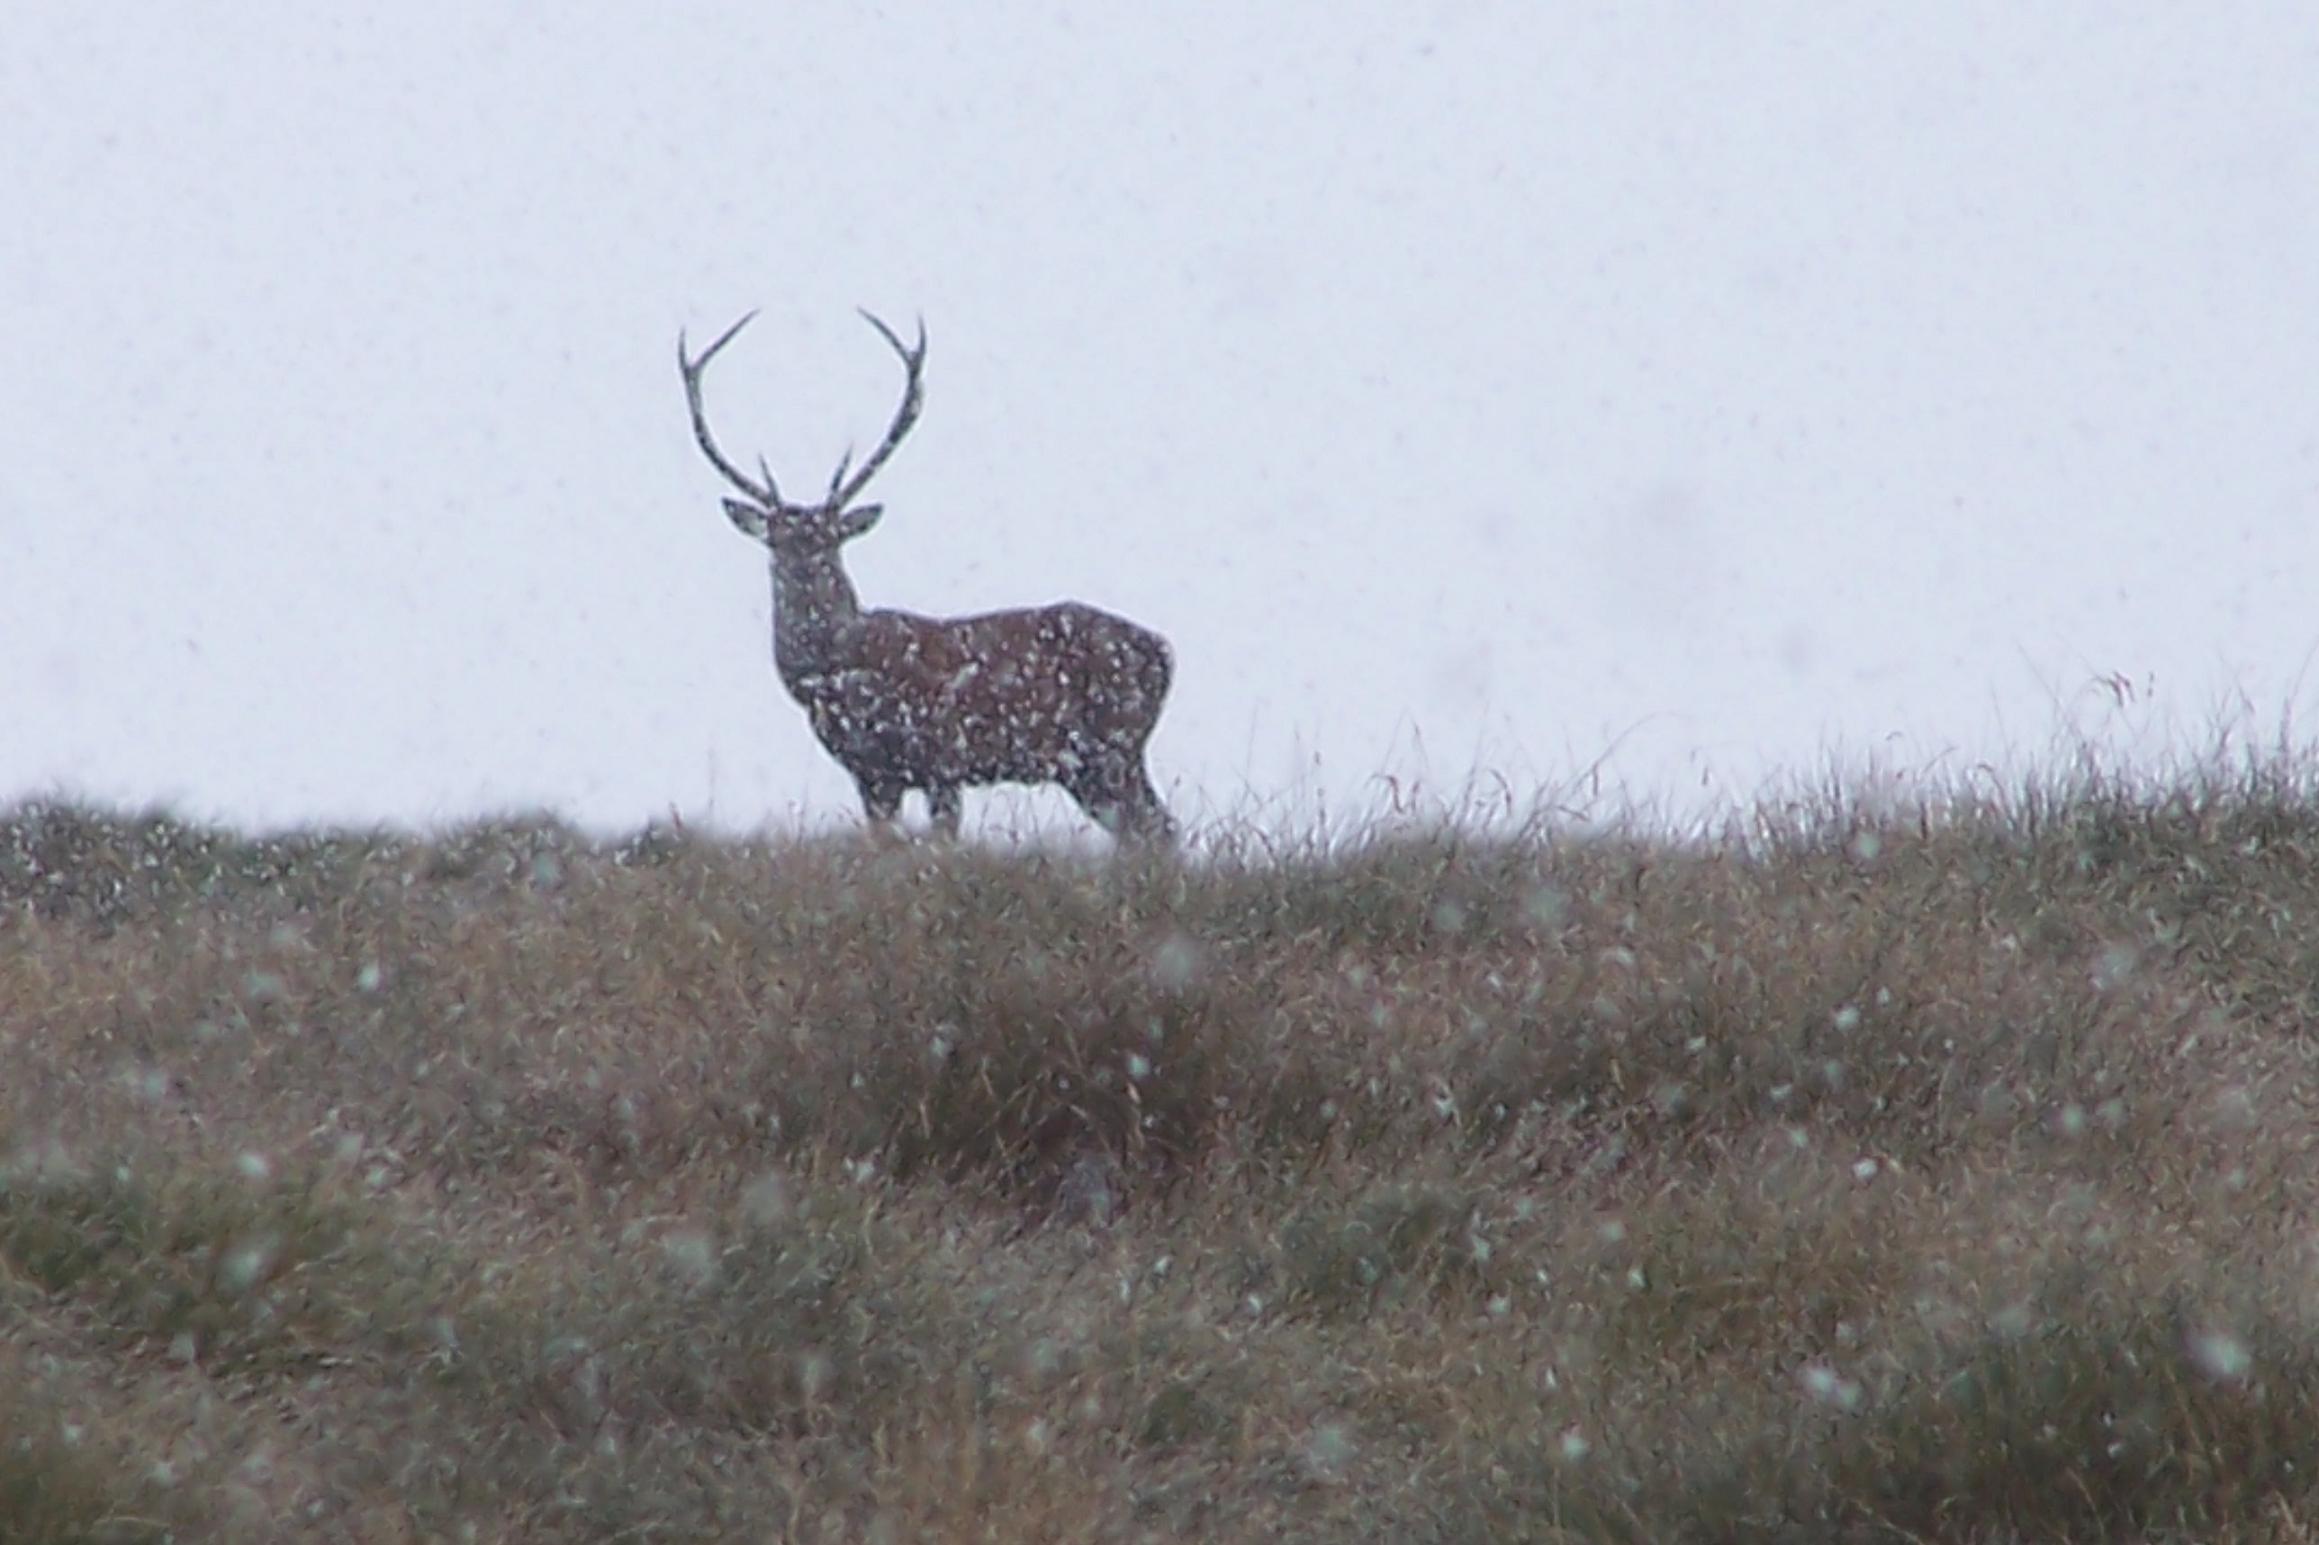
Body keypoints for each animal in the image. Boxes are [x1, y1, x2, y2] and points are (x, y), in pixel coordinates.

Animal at [677, 308, 1168, 844]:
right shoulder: (871, 776)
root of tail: (1163, 652)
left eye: (830, 541)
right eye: (776, 542)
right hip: (1087, 767)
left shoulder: (943, 756)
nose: (803, 569)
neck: (839, 678)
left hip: (1112, 741)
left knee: (1157, 828)